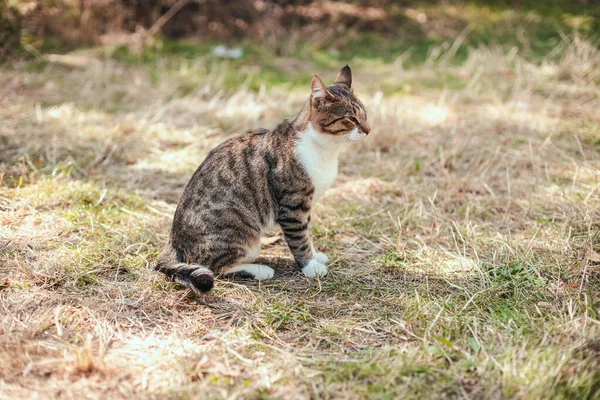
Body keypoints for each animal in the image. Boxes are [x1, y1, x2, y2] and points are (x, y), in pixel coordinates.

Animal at [155, 65, 370, 290]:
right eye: (351, 119)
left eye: (365, 116)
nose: (368, 130)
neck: (325, 149)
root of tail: (172, 240)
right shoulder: (293, 206)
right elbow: (300, 238)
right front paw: (310, 266)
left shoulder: (306, 205)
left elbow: (308, 232)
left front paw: (315, 255)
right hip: (240, 226)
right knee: (214, 267)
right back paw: (259, 270)